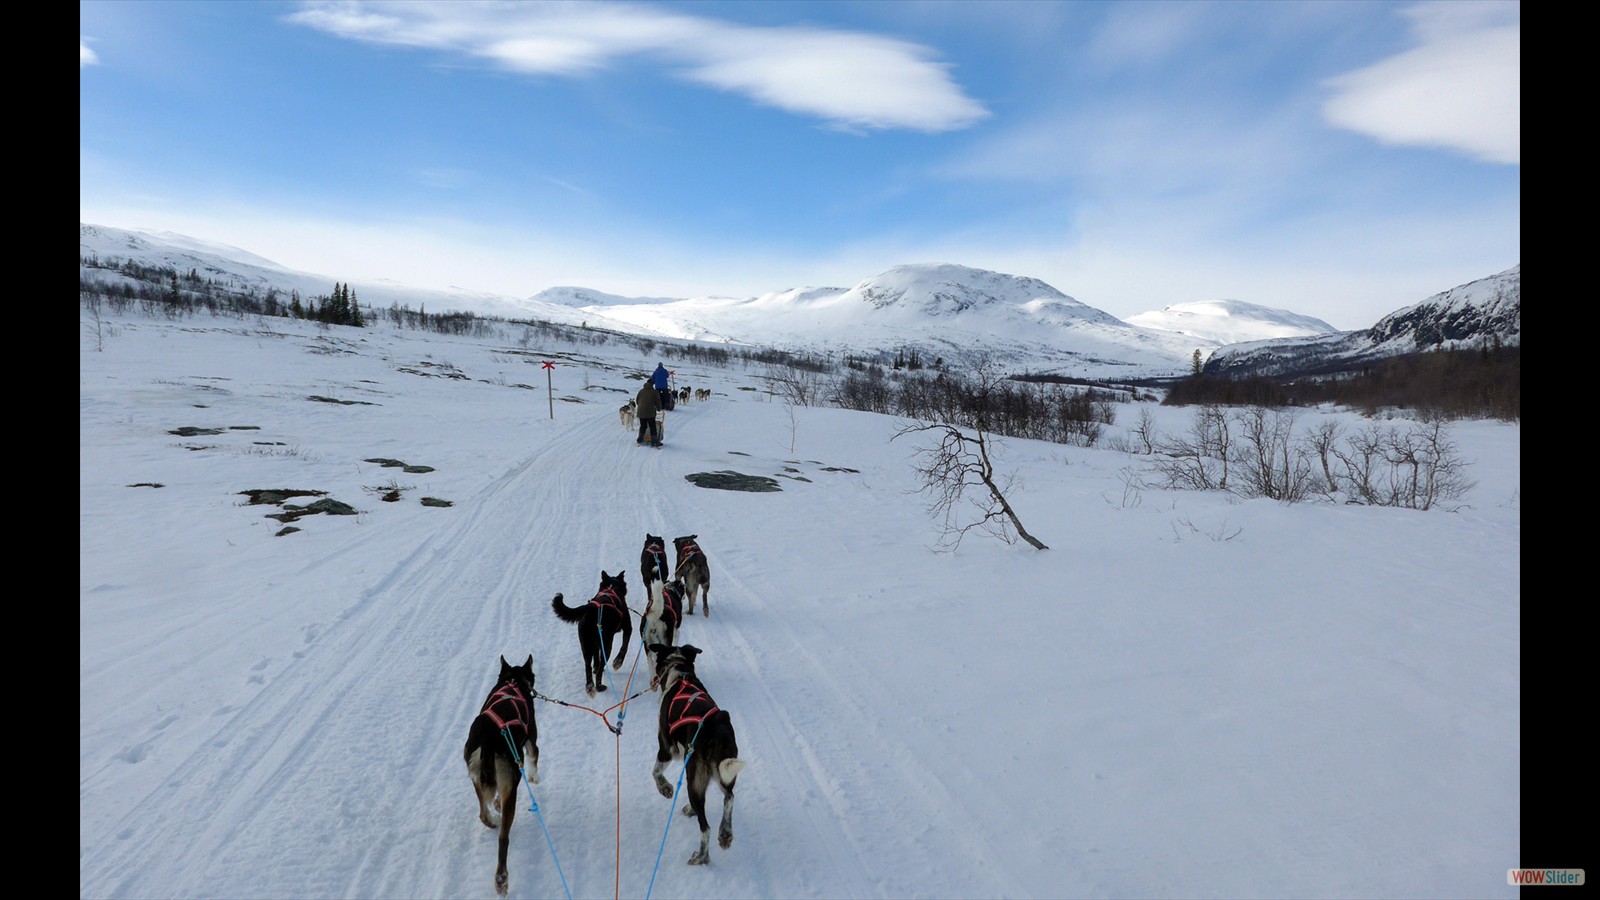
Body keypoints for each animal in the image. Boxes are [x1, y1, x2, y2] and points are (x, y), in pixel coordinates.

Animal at [460, 650, 540, 890]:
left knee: (483, 814)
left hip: (476, 776)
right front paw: (534, 776)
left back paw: (493, 818)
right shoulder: (531, 738)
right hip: (511, 780)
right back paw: (501, 879)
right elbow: (534, 755)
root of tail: (488, 738)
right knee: (504, 838)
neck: (512, 681)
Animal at [553, 566, 633, 695]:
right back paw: (599, 686)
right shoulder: (628, 628)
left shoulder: (595, 644)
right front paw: (618, 662)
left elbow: (596, 659)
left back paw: (590, 686)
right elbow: (624, 647)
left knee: (588, 667)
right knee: (600, 667)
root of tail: (592, 609)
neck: (611, 588)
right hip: (606, 644)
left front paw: (596, 667)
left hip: (586, 645)